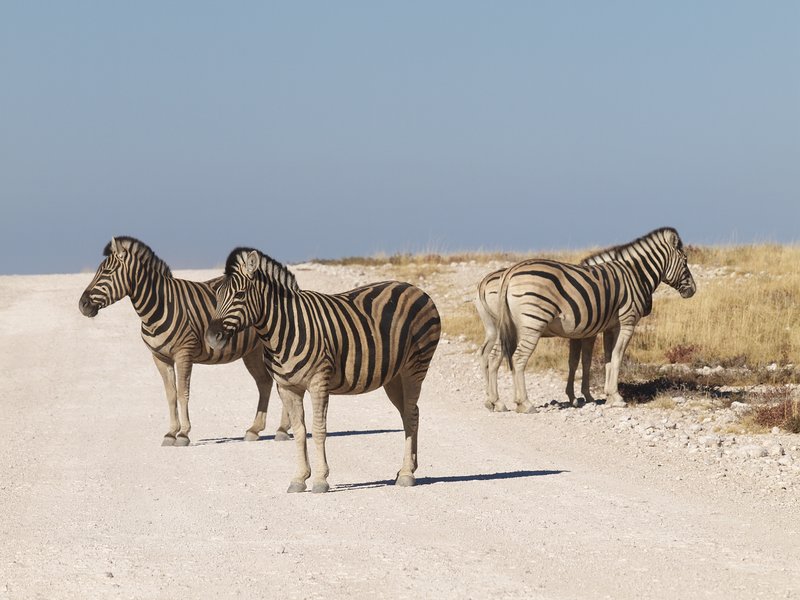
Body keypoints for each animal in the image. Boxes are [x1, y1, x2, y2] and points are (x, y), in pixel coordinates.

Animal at [78, 236, 290, 446]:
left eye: (107, 272)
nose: (82, 305)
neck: (159, 306)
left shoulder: (184, 354)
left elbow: (182, 392)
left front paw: (183, 434)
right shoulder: (160, 357)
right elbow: (171, 394)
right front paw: (171, 433)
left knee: (280, 382)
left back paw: (282, 429)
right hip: (252, 351)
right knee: (264, 382)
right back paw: (255, 429)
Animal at [205, 247, 441, 494]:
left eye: (240, 295)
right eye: (218, 296)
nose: (211, 337)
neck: (283, 329)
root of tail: (416, 289)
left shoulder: (318, 382)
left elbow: (318, 429)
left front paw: (320, 480)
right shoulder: (287, 387)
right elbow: (299, 431)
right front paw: (299, 479)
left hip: (415, 367)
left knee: (411, 414)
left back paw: (406, 474)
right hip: (393, 376)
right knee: (409, 413)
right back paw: (407, 468)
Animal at [476, 268, 598, 410]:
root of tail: (484, 282)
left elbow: (575, 361)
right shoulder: (586, 332)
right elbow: (582, 361)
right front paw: (583, 397)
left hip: (493, 329)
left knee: (485, 353)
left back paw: (491, 399)